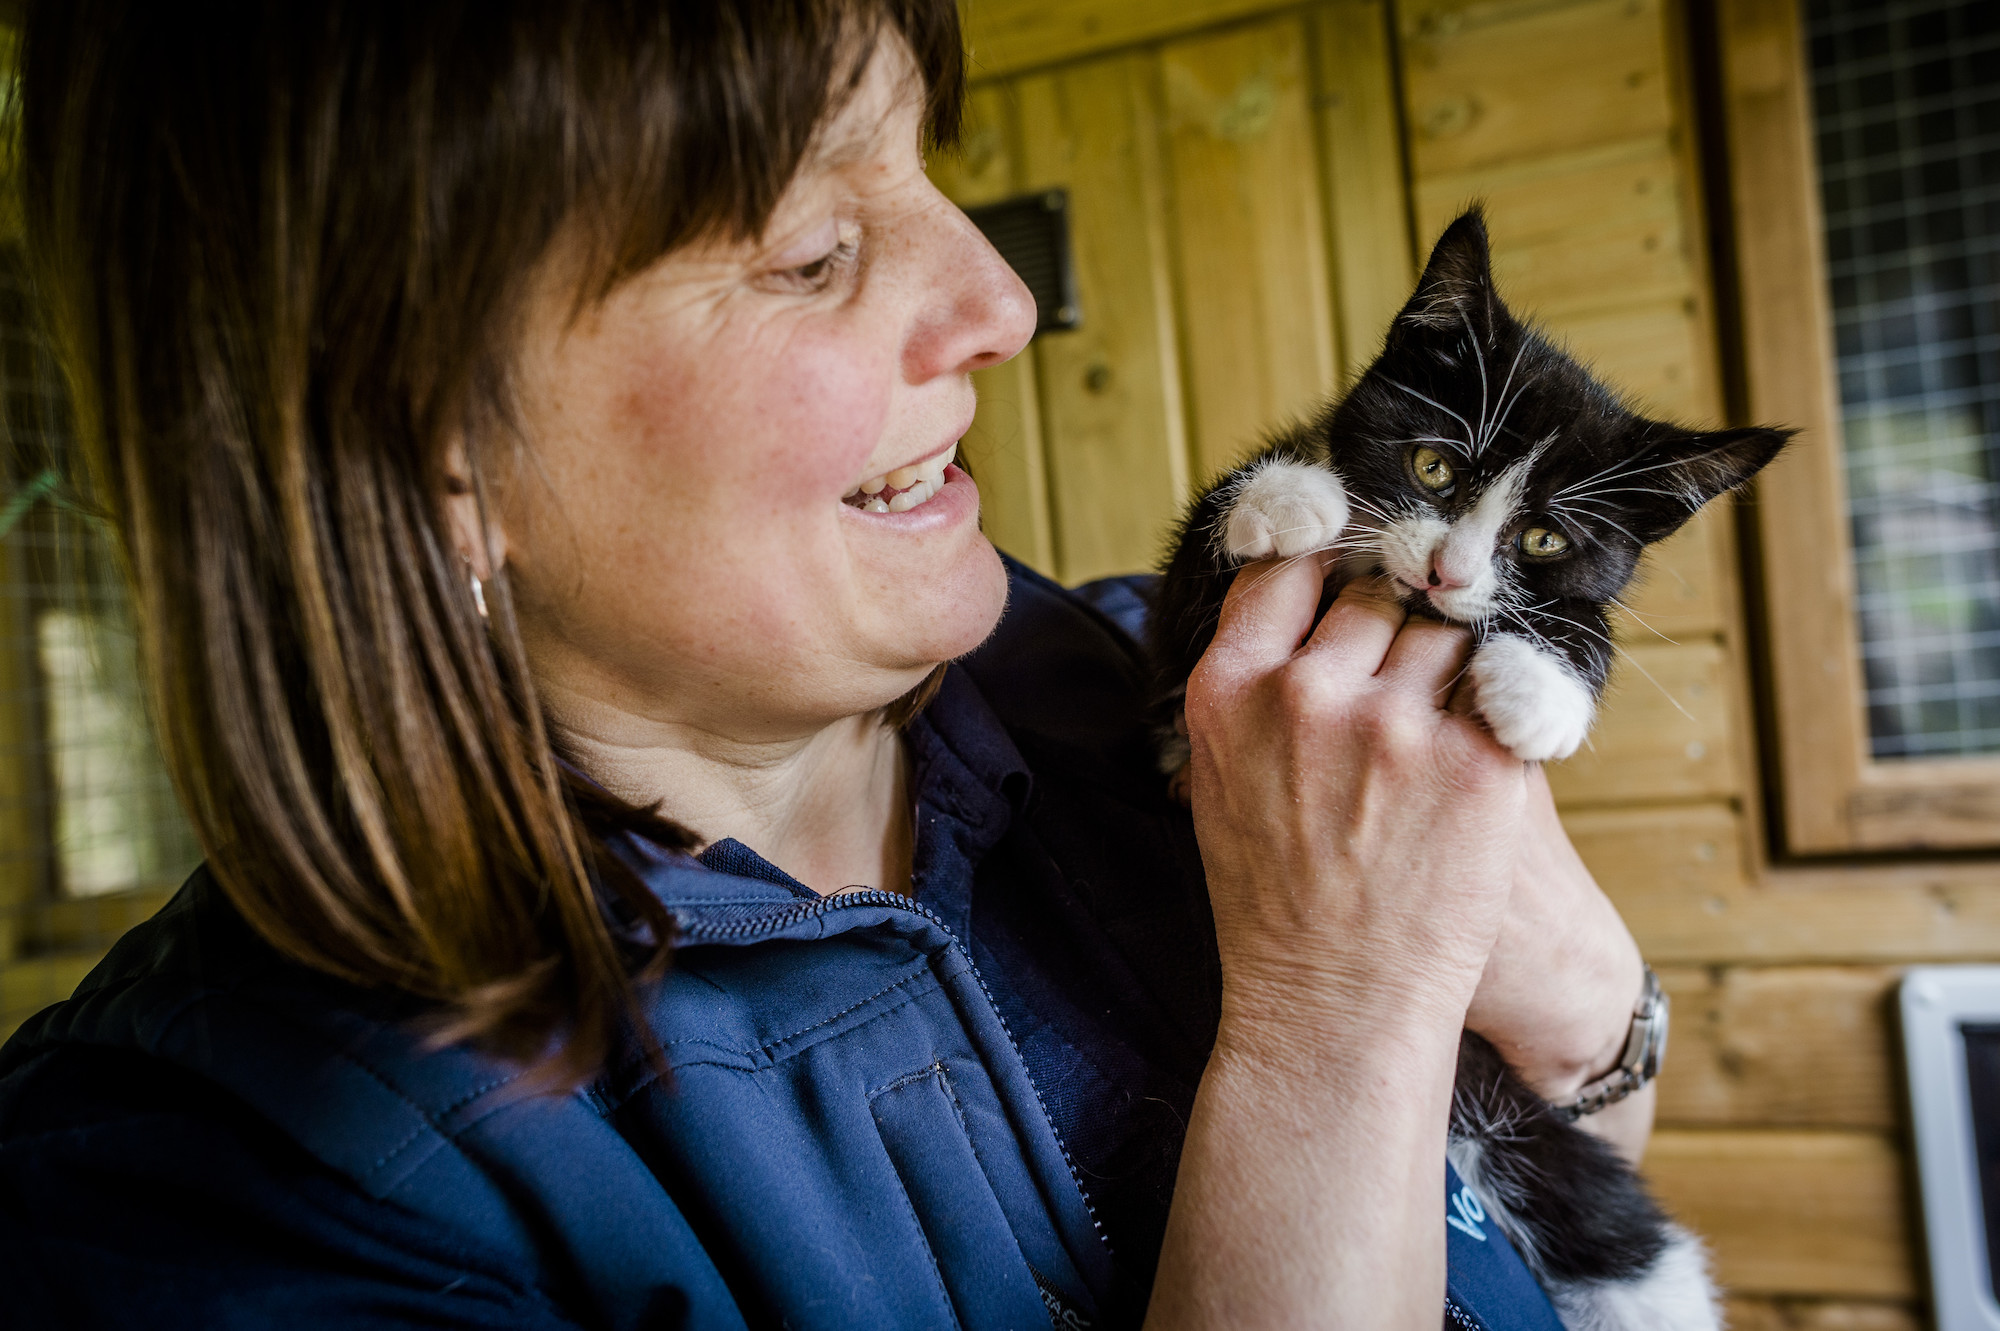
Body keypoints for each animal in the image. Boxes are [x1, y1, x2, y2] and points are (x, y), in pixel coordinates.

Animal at [1152, 201, 1792, 1319]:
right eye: (1434, 469)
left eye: (1541, 539)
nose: (1449, 570)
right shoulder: (1172, 665)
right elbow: (1196, 565)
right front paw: (1283, 499)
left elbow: (1583, 619)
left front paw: (1541, 685)